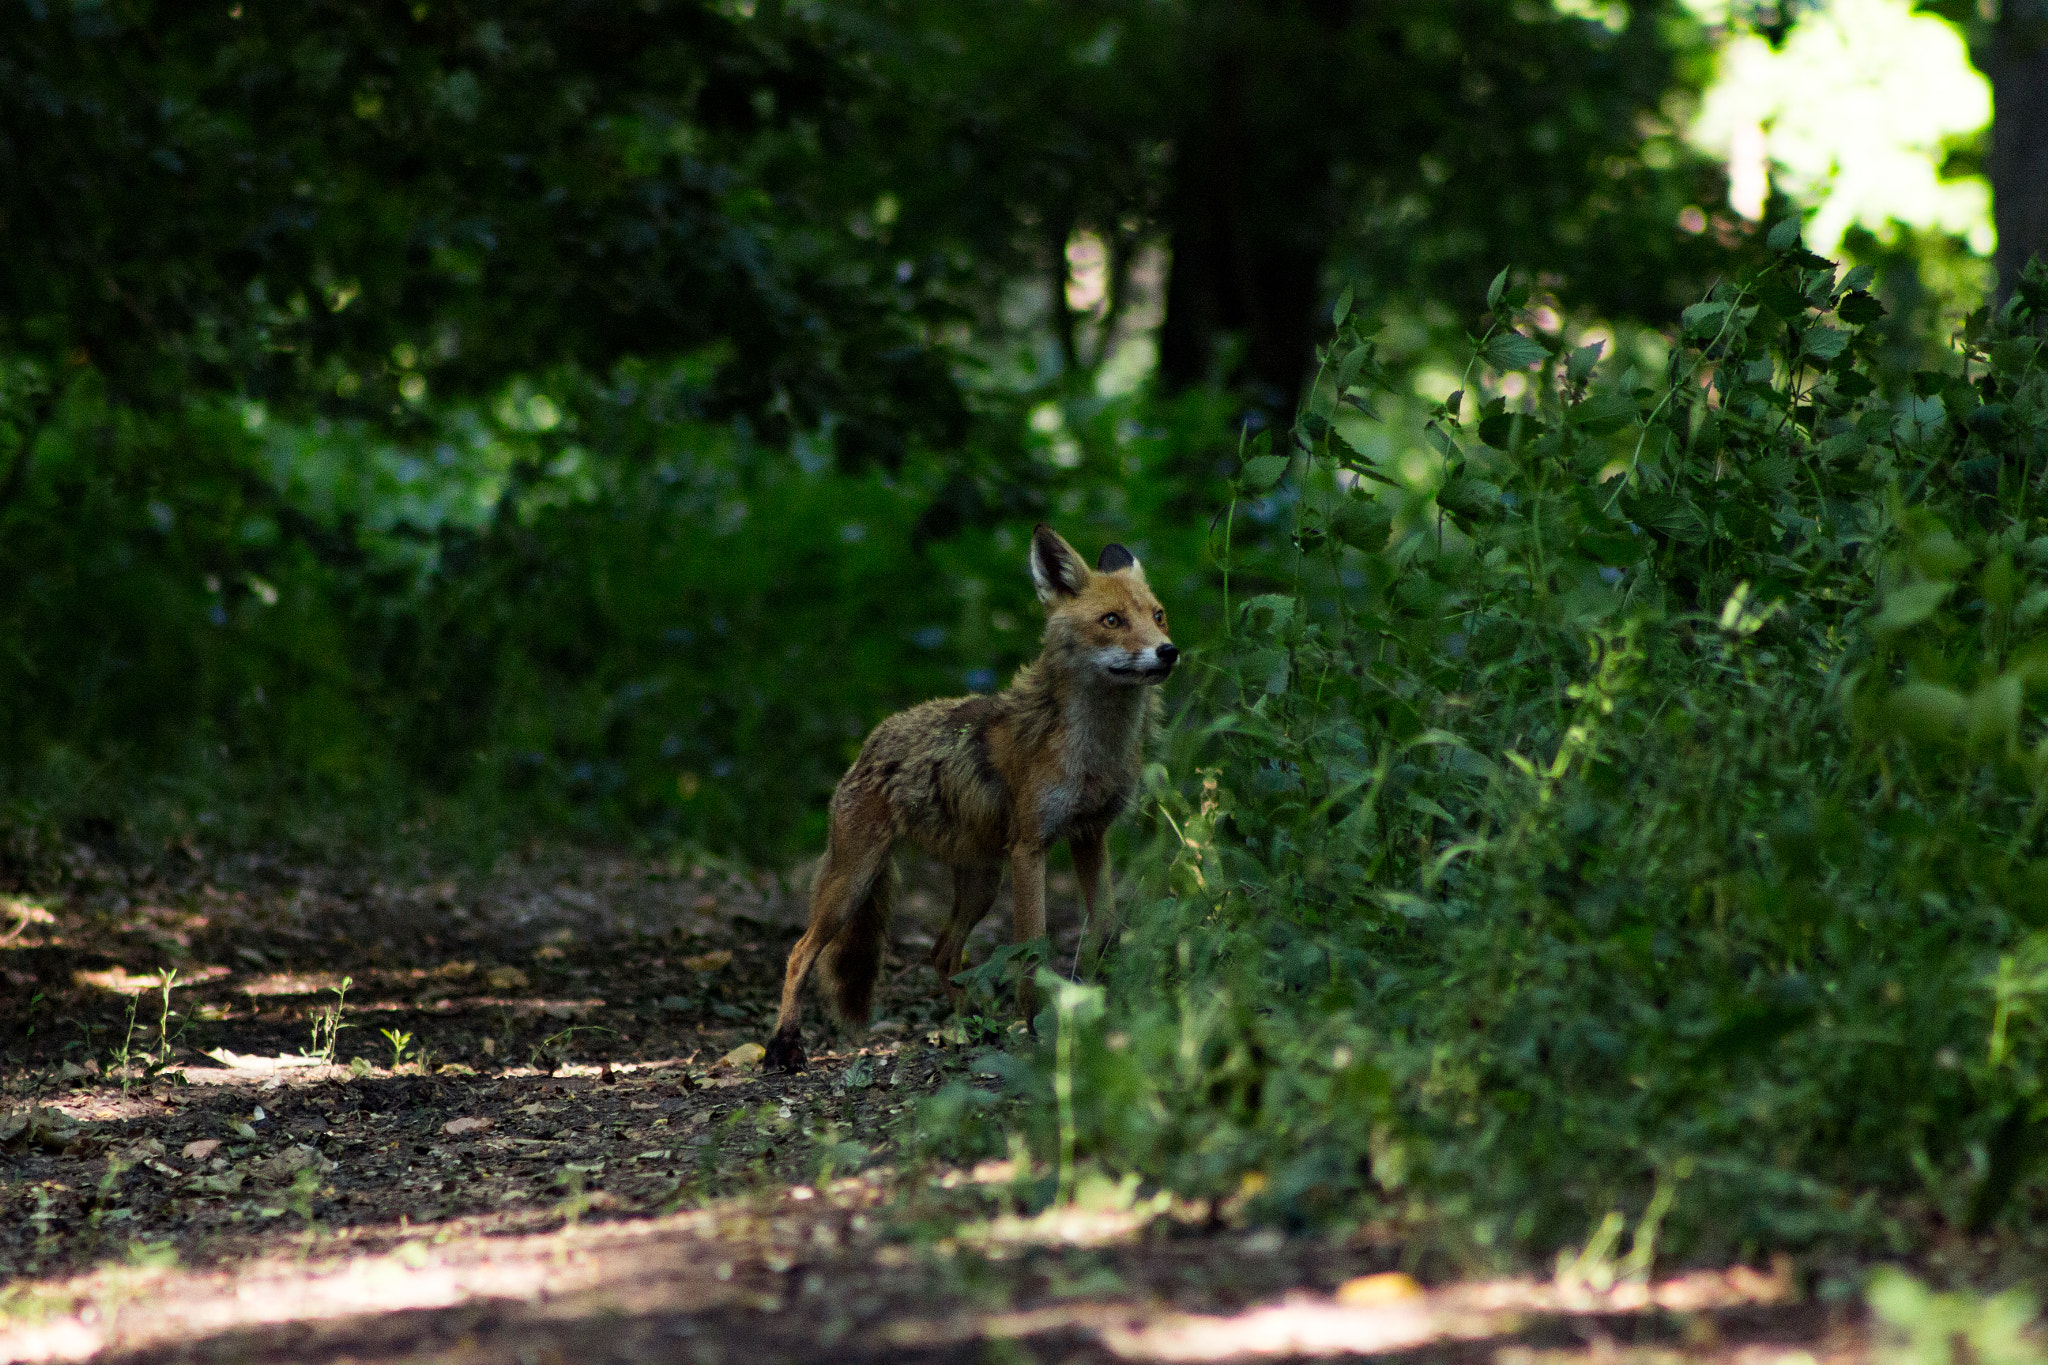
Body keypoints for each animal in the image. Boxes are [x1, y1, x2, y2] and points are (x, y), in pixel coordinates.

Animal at [765, 523, 1187, 1064]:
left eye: (1157, 615)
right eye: (1111, 621)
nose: (1168, 651)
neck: (1094, 753)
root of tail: (872, 741)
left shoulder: (1090, 836)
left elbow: (1105, 933)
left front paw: (1099, 1012)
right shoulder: (1030, 847)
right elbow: (1032, 946)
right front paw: (1034, 1030)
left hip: (981, 883)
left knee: (943, 952)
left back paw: (971, 1031)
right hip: (854, 882)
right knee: (801, 951)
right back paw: (783, 1044)